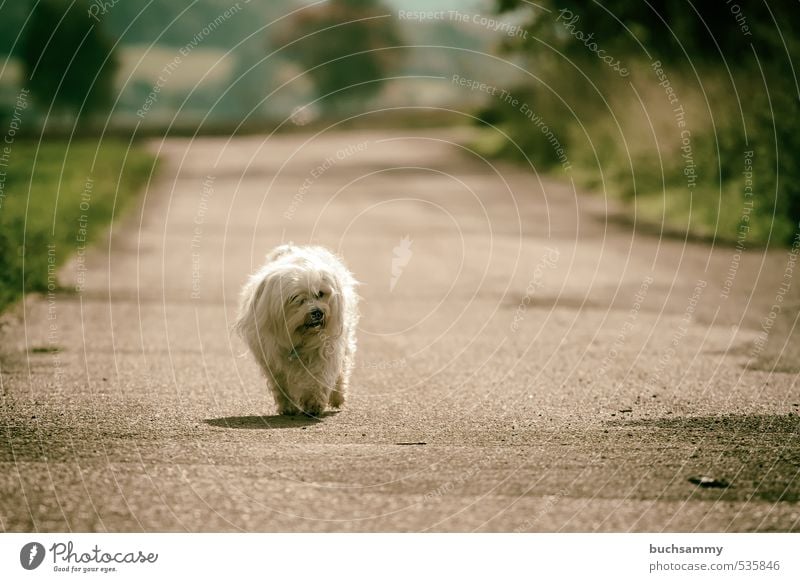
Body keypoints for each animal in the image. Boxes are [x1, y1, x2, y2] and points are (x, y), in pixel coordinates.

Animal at [234, 244, 360, 418]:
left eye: (320, 293)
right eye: (296, 298)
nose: (318, 312)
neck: (299, 337)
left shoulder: (324, 349)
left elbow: (319, 376)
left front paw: (314, 403)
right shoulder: (272, 359)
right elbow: (282, 384)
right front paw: (288, 406)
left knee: (342, 369)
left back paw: (337, 396)